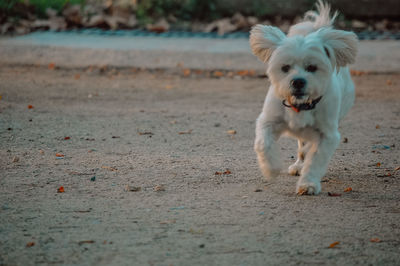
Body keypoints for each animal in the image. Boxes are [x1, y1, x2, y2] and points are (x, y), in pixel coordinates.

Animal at [250, 1, 360, 194]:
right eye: (285, 67)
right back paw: (297, 164)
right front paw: (271, 168)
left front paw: (308, 183)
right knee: (301, 148)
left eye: (312, 67)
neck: (300, 105)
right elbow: (263, 143)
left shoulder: (327, 136)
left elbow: (315, 160)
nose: (298, 81)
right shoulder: (268, 121)